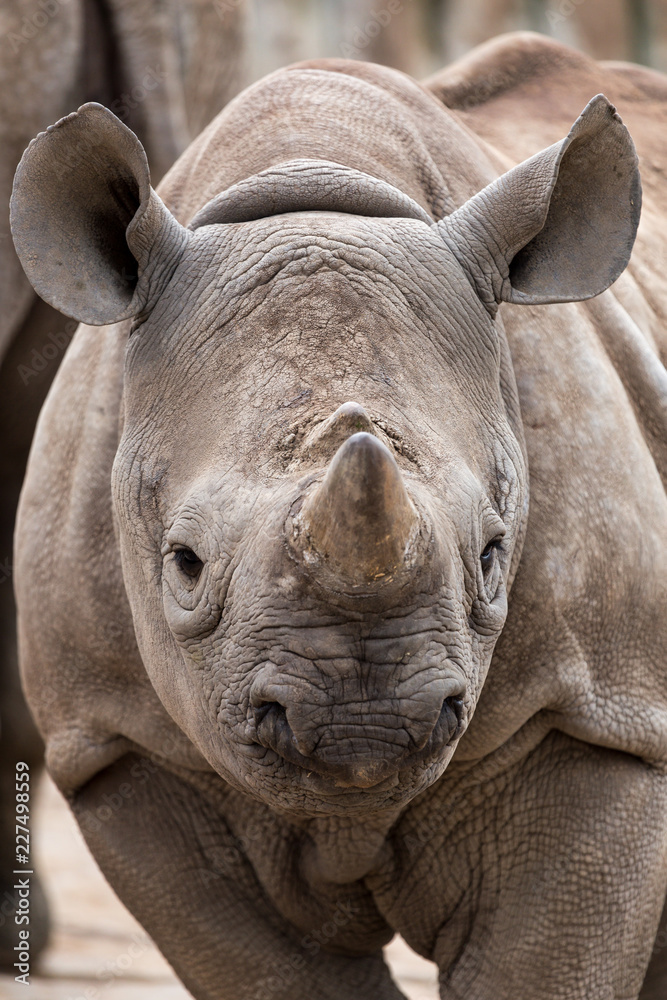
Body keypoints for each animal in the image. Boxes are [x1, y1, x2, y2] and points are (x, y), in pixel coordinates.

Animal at [10, 31, 667, 999]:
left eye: (492, 555)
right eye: (184, 563)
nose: (366, 726)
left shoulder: (600, 717)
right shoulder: (120, 744)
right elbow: (274, 972)